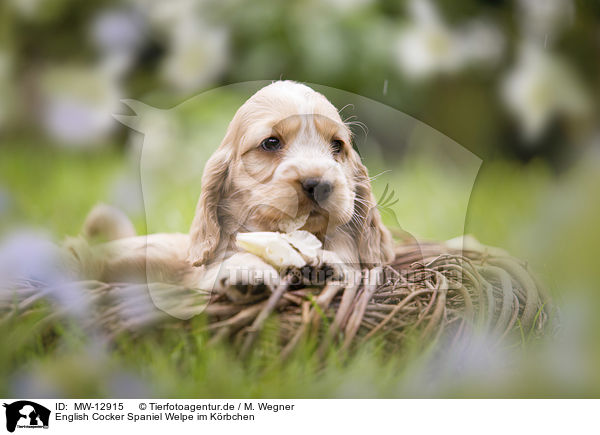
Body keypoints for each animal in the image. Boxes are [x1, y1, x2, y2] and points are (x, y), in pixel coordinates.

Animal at [69, 81, 394, 300]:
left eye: (337, 145)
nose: (320, 184)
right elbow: (232, 258)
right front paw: (248, 271)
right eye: (271, 143)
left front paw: (326, 265)